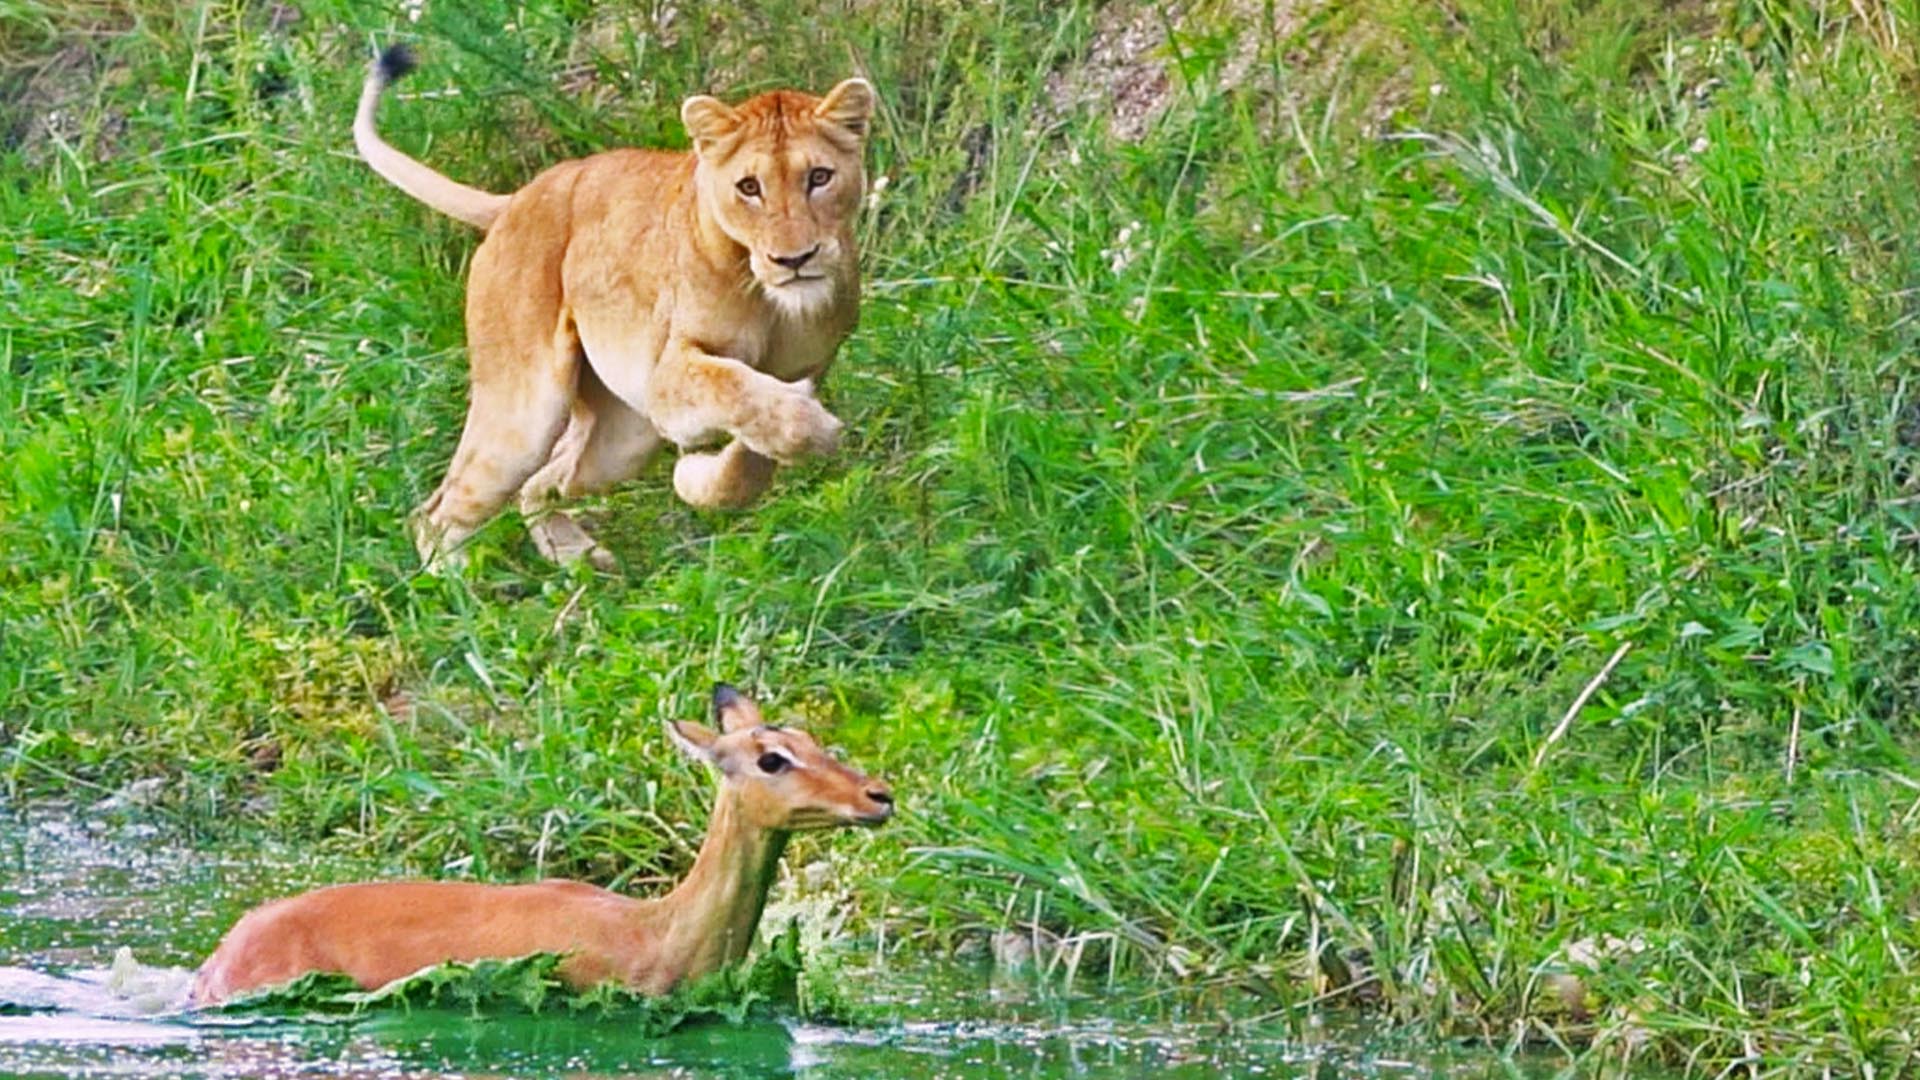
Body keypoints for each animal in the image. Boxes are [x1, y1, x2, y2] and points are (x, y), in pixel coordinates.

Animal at [351, 46, 874, 570]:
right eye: (749, 187)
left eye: (820, 178)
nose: (794, 259)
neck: (777, 305)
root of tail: (516, 199)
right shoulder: (667, 376)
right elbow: (737, 391)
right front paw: (801, 435)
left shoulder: (808, 365)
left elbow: (748, 464)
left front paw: (701, 476)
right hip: (525, 417)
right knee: (439, 509)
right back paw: (455, 581)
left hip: (621, 441)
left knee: (547, 481)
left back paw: (578, 561)